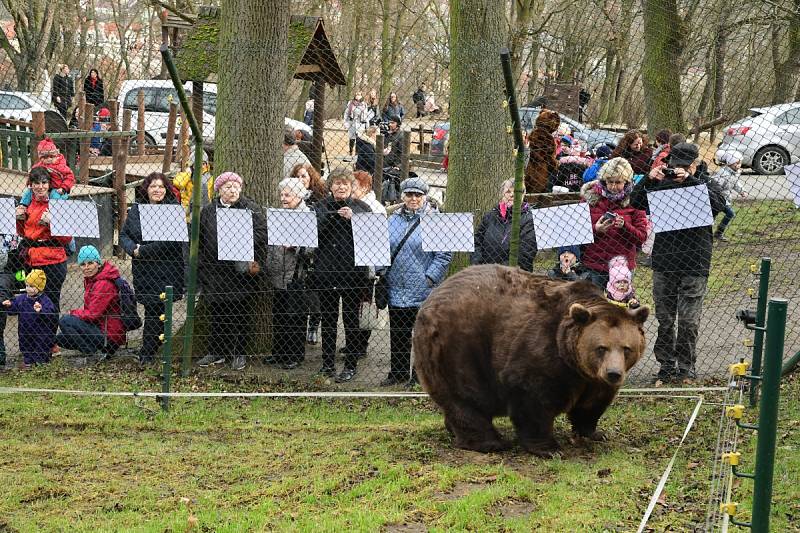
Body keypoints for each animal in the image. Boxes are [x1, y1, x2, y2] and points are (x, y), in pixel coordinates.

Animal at [416, 264, 648, 456]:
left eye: (626, 348)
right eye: (601, 348)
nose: (614, 373)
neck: (572, 360)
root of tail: (429, 300)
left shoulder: (591, 379)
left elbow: (593, 403)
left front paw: (594, 432)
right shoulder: (541, 352)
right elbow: (533, 398)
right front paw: (550, 448)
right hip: (459, 348)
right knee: (466, 397)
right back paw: (491, 442)